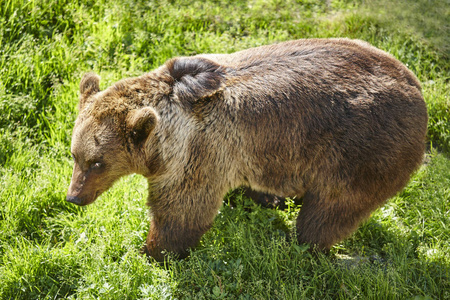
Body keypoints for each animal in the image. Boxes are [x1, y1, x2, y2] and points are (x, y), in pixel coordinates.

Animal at [67, 38, 428, 262]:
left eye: (97, 162)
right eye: (74, 155)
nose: (73, 197)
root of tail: (417, 89)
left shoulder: (198, 152)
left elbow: (182, 212)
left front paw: (152, 252)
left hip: (362, 153)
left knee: (327, 214)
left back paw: (304, 248)